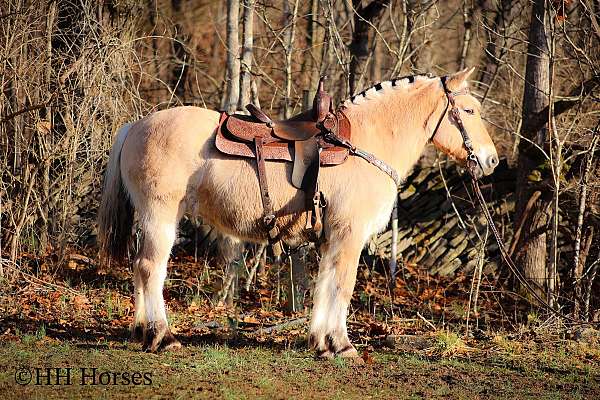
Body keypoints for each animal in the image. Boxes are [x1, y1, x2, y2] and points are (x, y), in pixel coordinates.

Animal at [98, 67, 500, 358]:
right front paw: (342, 345)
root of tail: (137, 125)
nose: (491, 160)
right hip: (160, 216)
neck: (363, 143)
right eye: (469, 111)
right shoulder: (349, 235)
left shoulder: (331, 238)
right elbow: (343, 285)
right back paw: (162, 336)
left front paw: (321, 342)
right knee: (151, 268)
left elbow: (324, 285)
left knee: (139, 266)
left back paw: (141, 331)